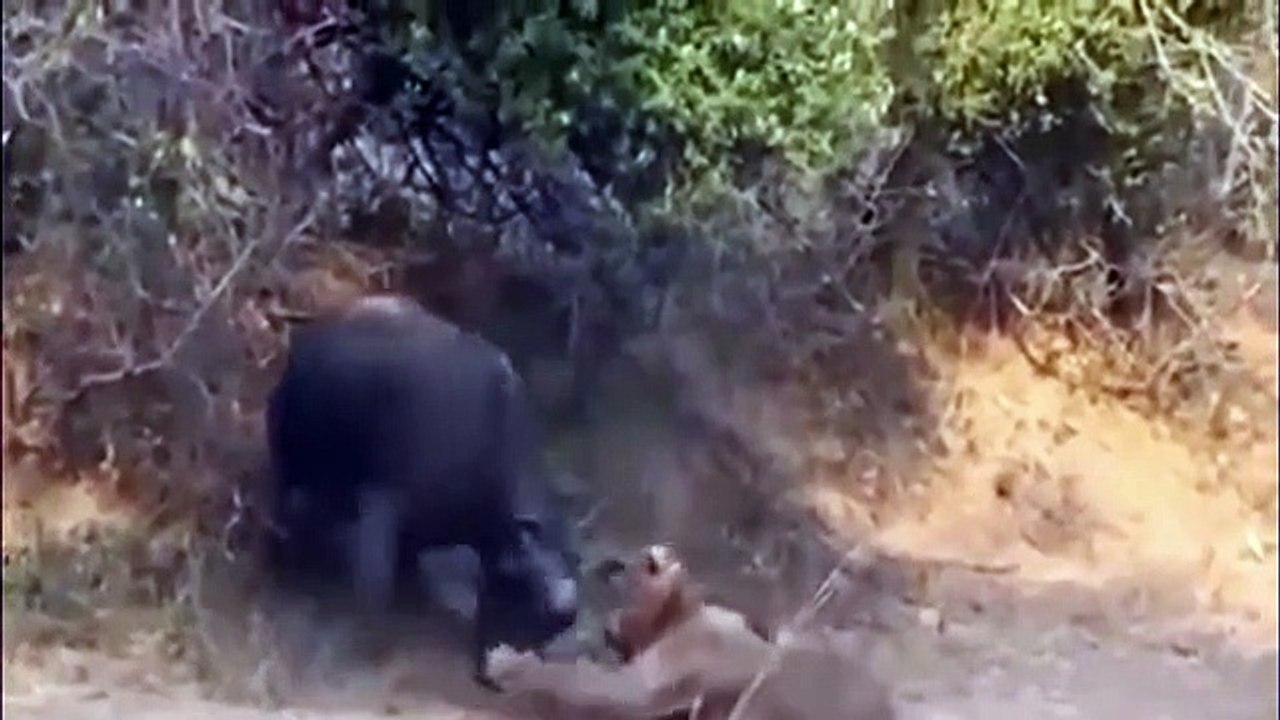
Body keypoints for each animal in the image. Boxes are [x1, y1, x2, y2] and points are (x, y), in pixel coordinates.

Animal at [263, 294, 581, 686]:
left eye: (558, 624)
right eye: (522, 587)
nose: (503, 671)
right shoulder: (384, 501)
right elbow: (376, 581)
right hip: (291, 463)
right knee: (286, 509)